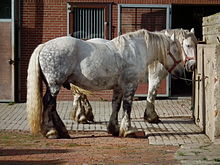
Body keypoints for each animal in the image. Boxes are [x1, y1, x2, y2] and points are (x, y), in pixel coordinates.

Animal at [26, 29, 185, 139]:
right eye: (177, 50)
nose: (181, 72)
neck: (136, 50)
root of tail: (44, 45)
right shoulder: (130, 85)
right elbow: (127, 107)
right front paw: (128, 130)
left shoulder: (119, 87)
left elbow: (116, 105)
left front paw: (114, 129)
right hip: (54, 84)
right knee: (49, 103)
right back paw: (51, 131)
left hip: (54, 85)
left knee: (52, 106)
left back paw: (62, 131)